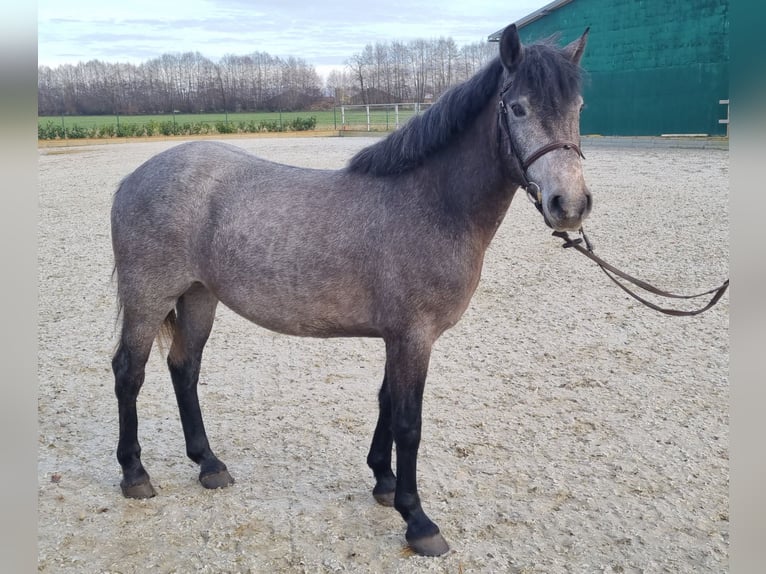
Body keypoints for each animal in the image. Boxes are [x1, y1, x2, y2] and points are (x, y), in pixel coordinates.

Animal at [111, 23, 592, 560]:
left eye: (578, 107)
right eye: (519, 108)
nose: (569, 205)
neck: (432, 203)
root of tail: (134, 177)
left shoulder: (399, 337)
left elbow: (386, 402)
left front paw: (383, 481)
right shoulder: (414, 337)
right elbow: (408, 423)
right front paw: (417, 519)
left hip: (198, 296)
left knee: (184, 368)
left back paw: (209, 464)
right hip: (149, 297)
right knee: (129, 373)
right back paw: (135, 474)